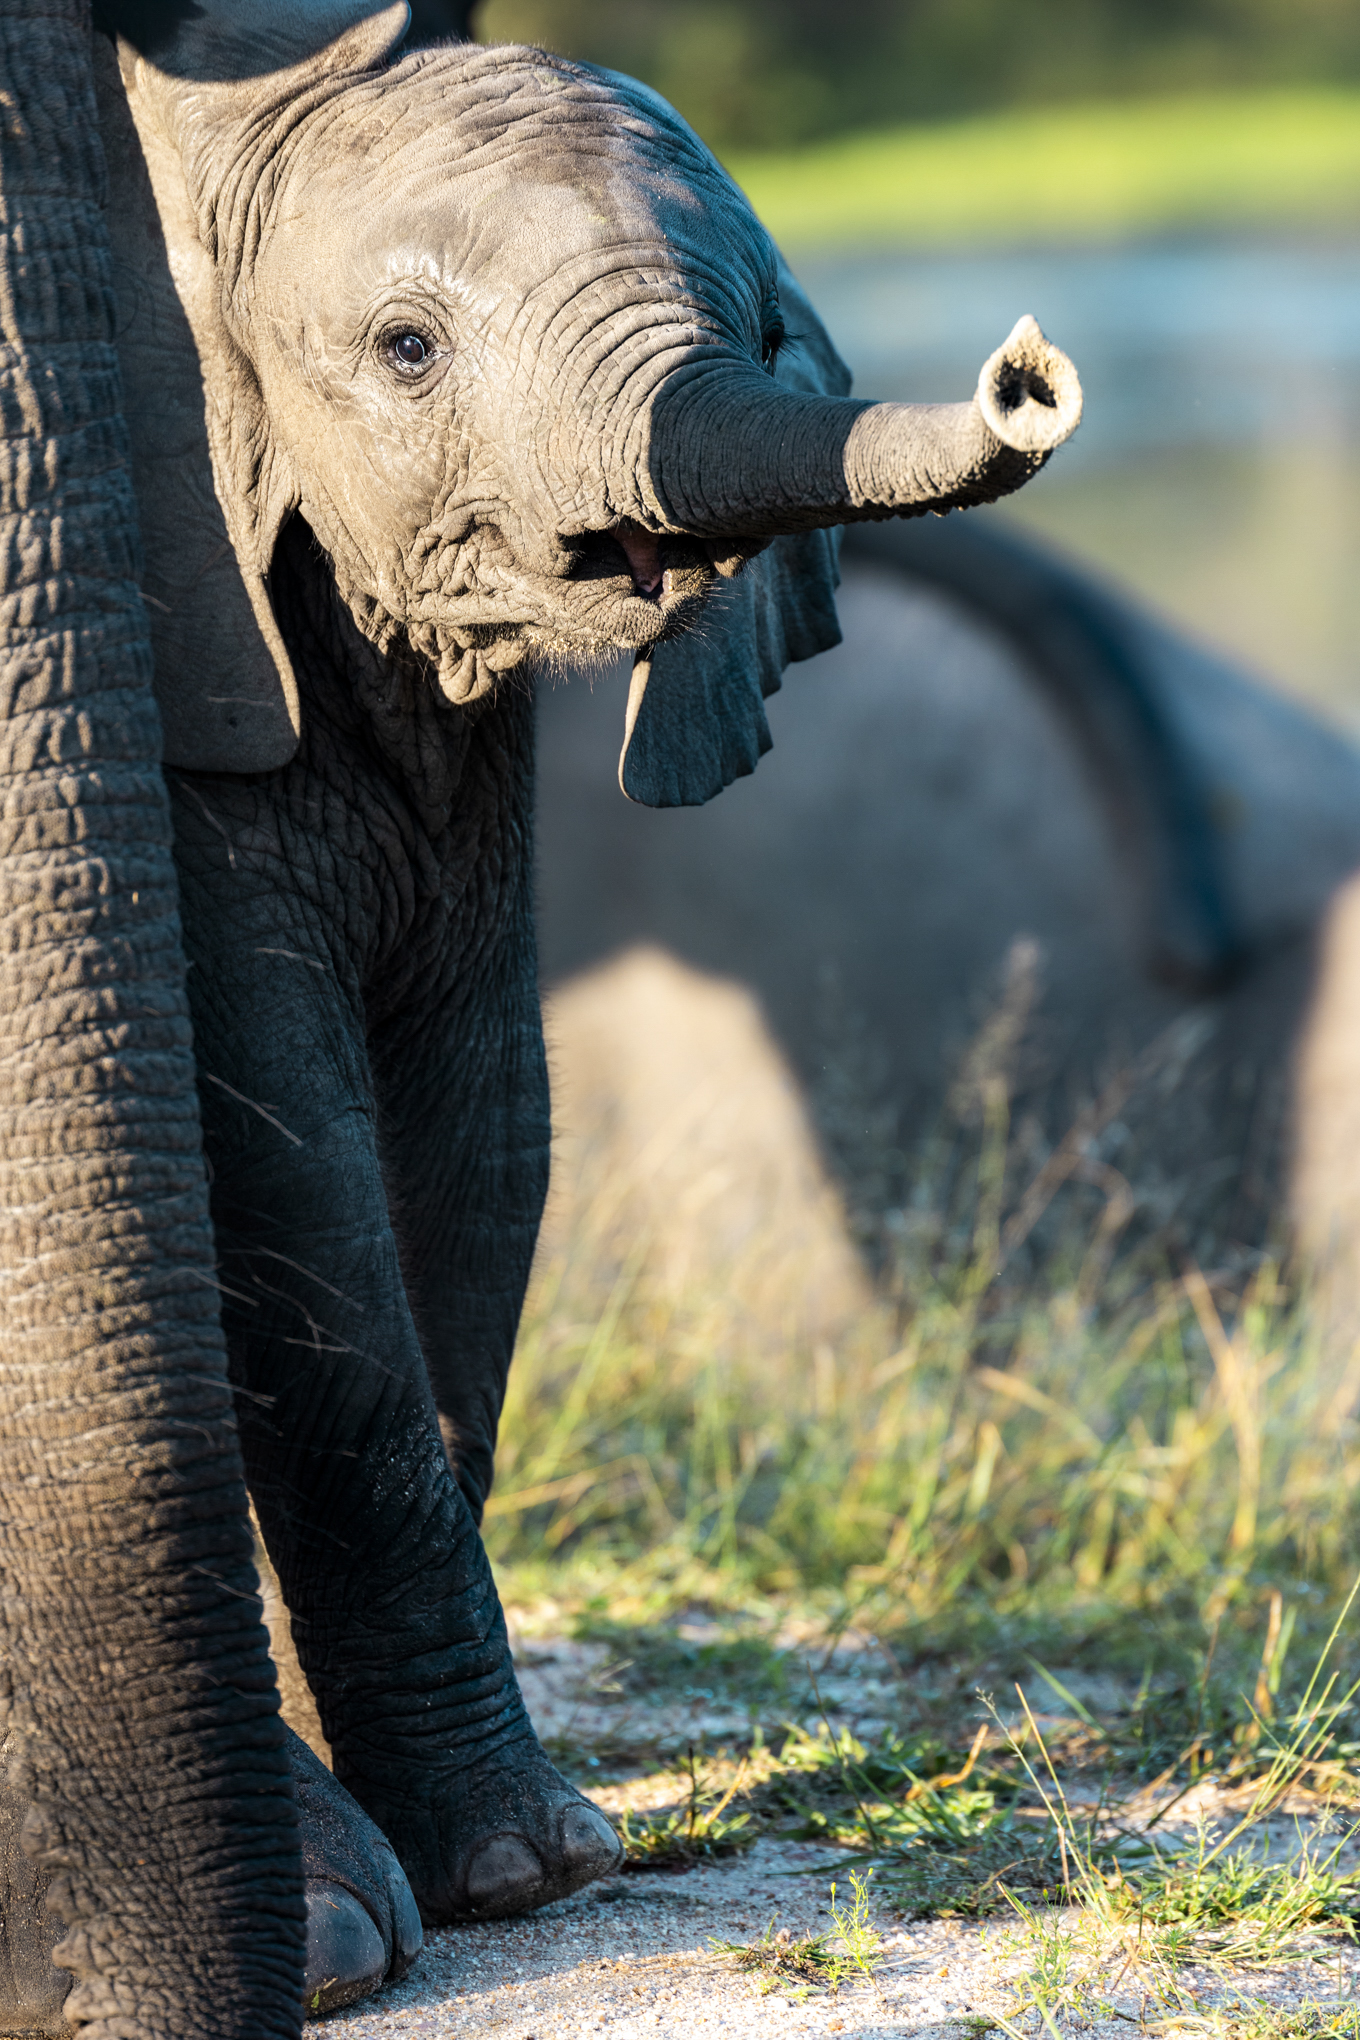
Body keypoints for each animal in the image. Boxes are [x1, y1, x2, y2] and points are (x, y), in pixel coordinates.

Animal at [0, 0, 1082, 2031]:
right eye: (407, 353)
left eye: (763, 331)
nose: (1034, 374)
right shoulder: (200, 713)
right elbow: (298, 1171)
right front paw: (461, 1892)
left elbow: (486, 1151)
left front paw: (519, 1864)